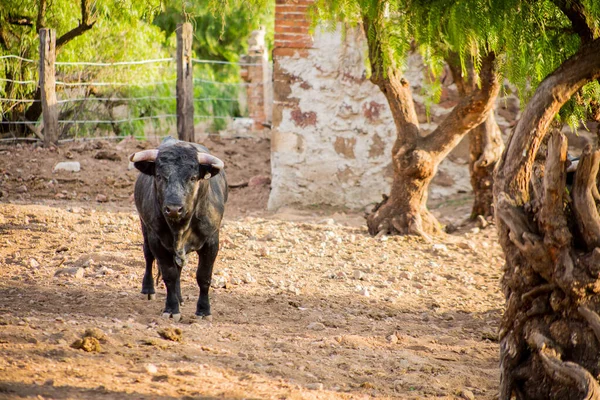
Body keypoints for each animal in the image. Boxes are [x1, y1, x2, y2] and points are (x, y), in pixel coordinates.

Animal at [129, 138, 227, 322]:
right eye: (159, 176)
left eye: (193, 177)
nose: (174, 208)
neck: (180, 226)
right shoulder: (157, 240)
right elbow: (169, 275)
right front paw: (171, 308)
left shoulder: (211, 241)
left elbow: (203, 276)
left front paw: (204, 310)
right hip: (144, 227)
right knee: (148, 255)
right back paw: (148, 290)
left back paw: (180, 297)